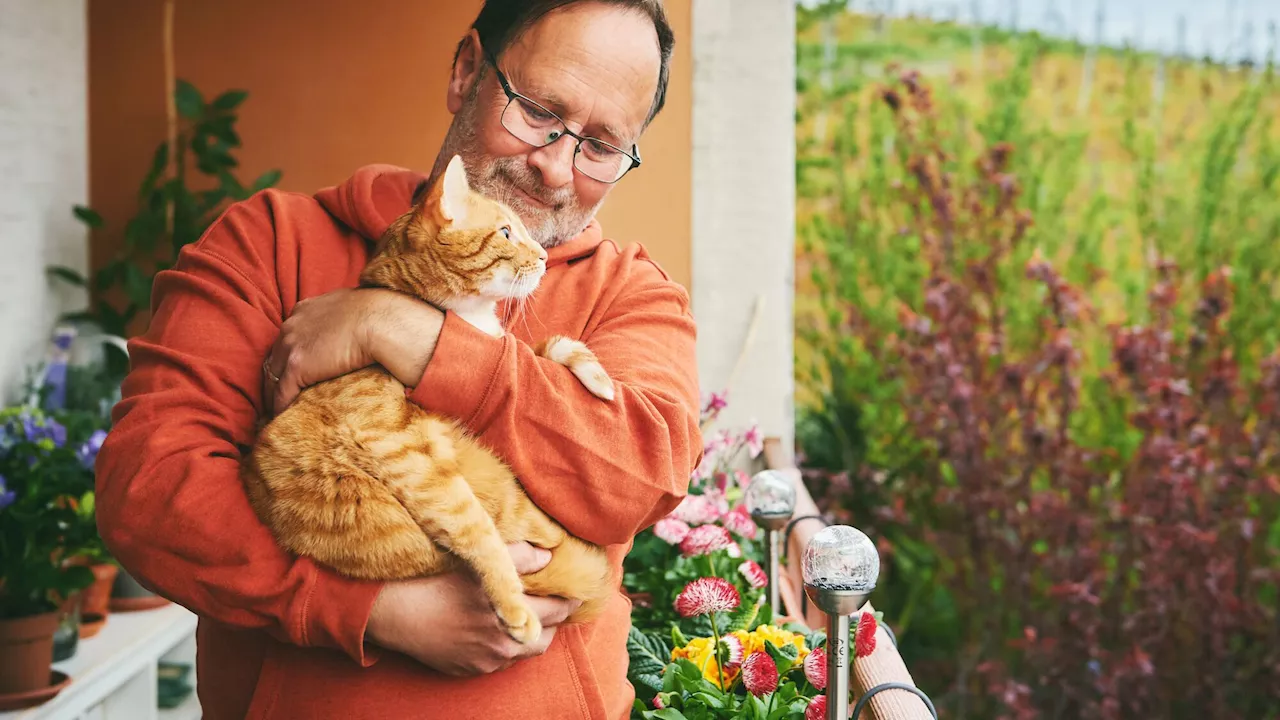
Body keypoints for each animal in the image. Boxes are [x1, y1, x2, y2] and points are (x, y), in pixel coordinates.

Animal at [244, 154, 619, 640]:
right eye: (506, 233)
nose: (541, 257)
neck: (468, 316)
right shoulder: (401, 448)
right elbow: (474, 529)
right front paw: (514, 607)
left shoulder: (506, 346)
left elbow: (546, 347)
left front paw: (598, 379)